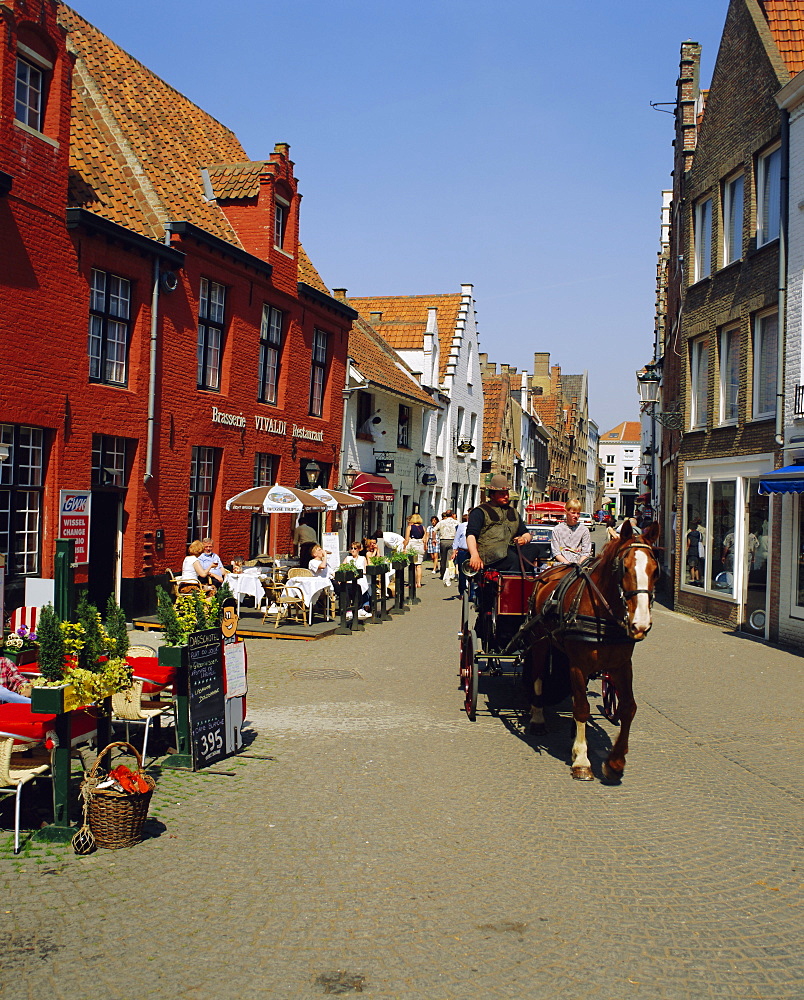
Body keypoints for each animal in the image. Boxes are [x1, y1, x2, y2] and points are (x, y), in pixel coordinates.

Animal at [524, 520, 664, 784]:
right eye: (624, 568)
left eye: (656, 570)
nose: (640, 624)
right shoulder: (578, 664)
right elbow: (581, 707)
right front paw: (581, 761)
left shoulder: (621, 664)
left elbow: (628, 708)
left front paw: (615, 763)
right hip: (539, 641)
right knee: (537, 676)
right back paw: (537, 719)